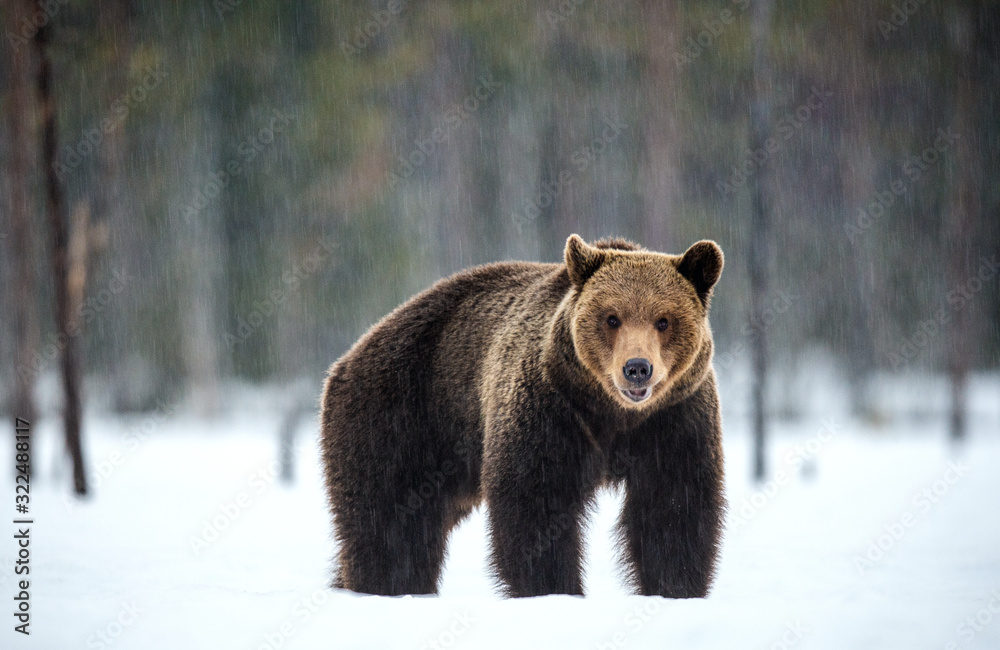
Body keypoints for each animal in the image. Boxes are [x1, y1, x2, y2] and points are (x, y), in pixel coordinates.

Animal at [320, 234, 725, 598]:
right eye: (612, 318)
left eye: (664, 320)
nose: (637, 368)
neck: (612, 414)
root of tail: (349, 356)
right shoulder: (549, 408)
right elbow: (536, 503)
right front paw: (553, 589)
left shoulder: (674, 418)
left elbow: (673, 506)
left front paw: (674, 588)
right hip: (400, 415)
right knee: (392, 521)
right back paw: (387, 588)